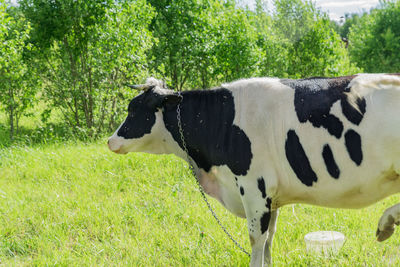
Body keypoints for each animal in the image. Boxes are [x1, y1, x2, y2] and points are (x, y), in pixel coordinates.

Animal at [107, 74, 400, 267]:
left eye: (133, 110)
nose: (111, 140)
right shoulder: (272, 198)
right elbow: (269, 241)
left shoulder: (254, 189)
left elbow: (256, 240)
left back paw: (386, 223)